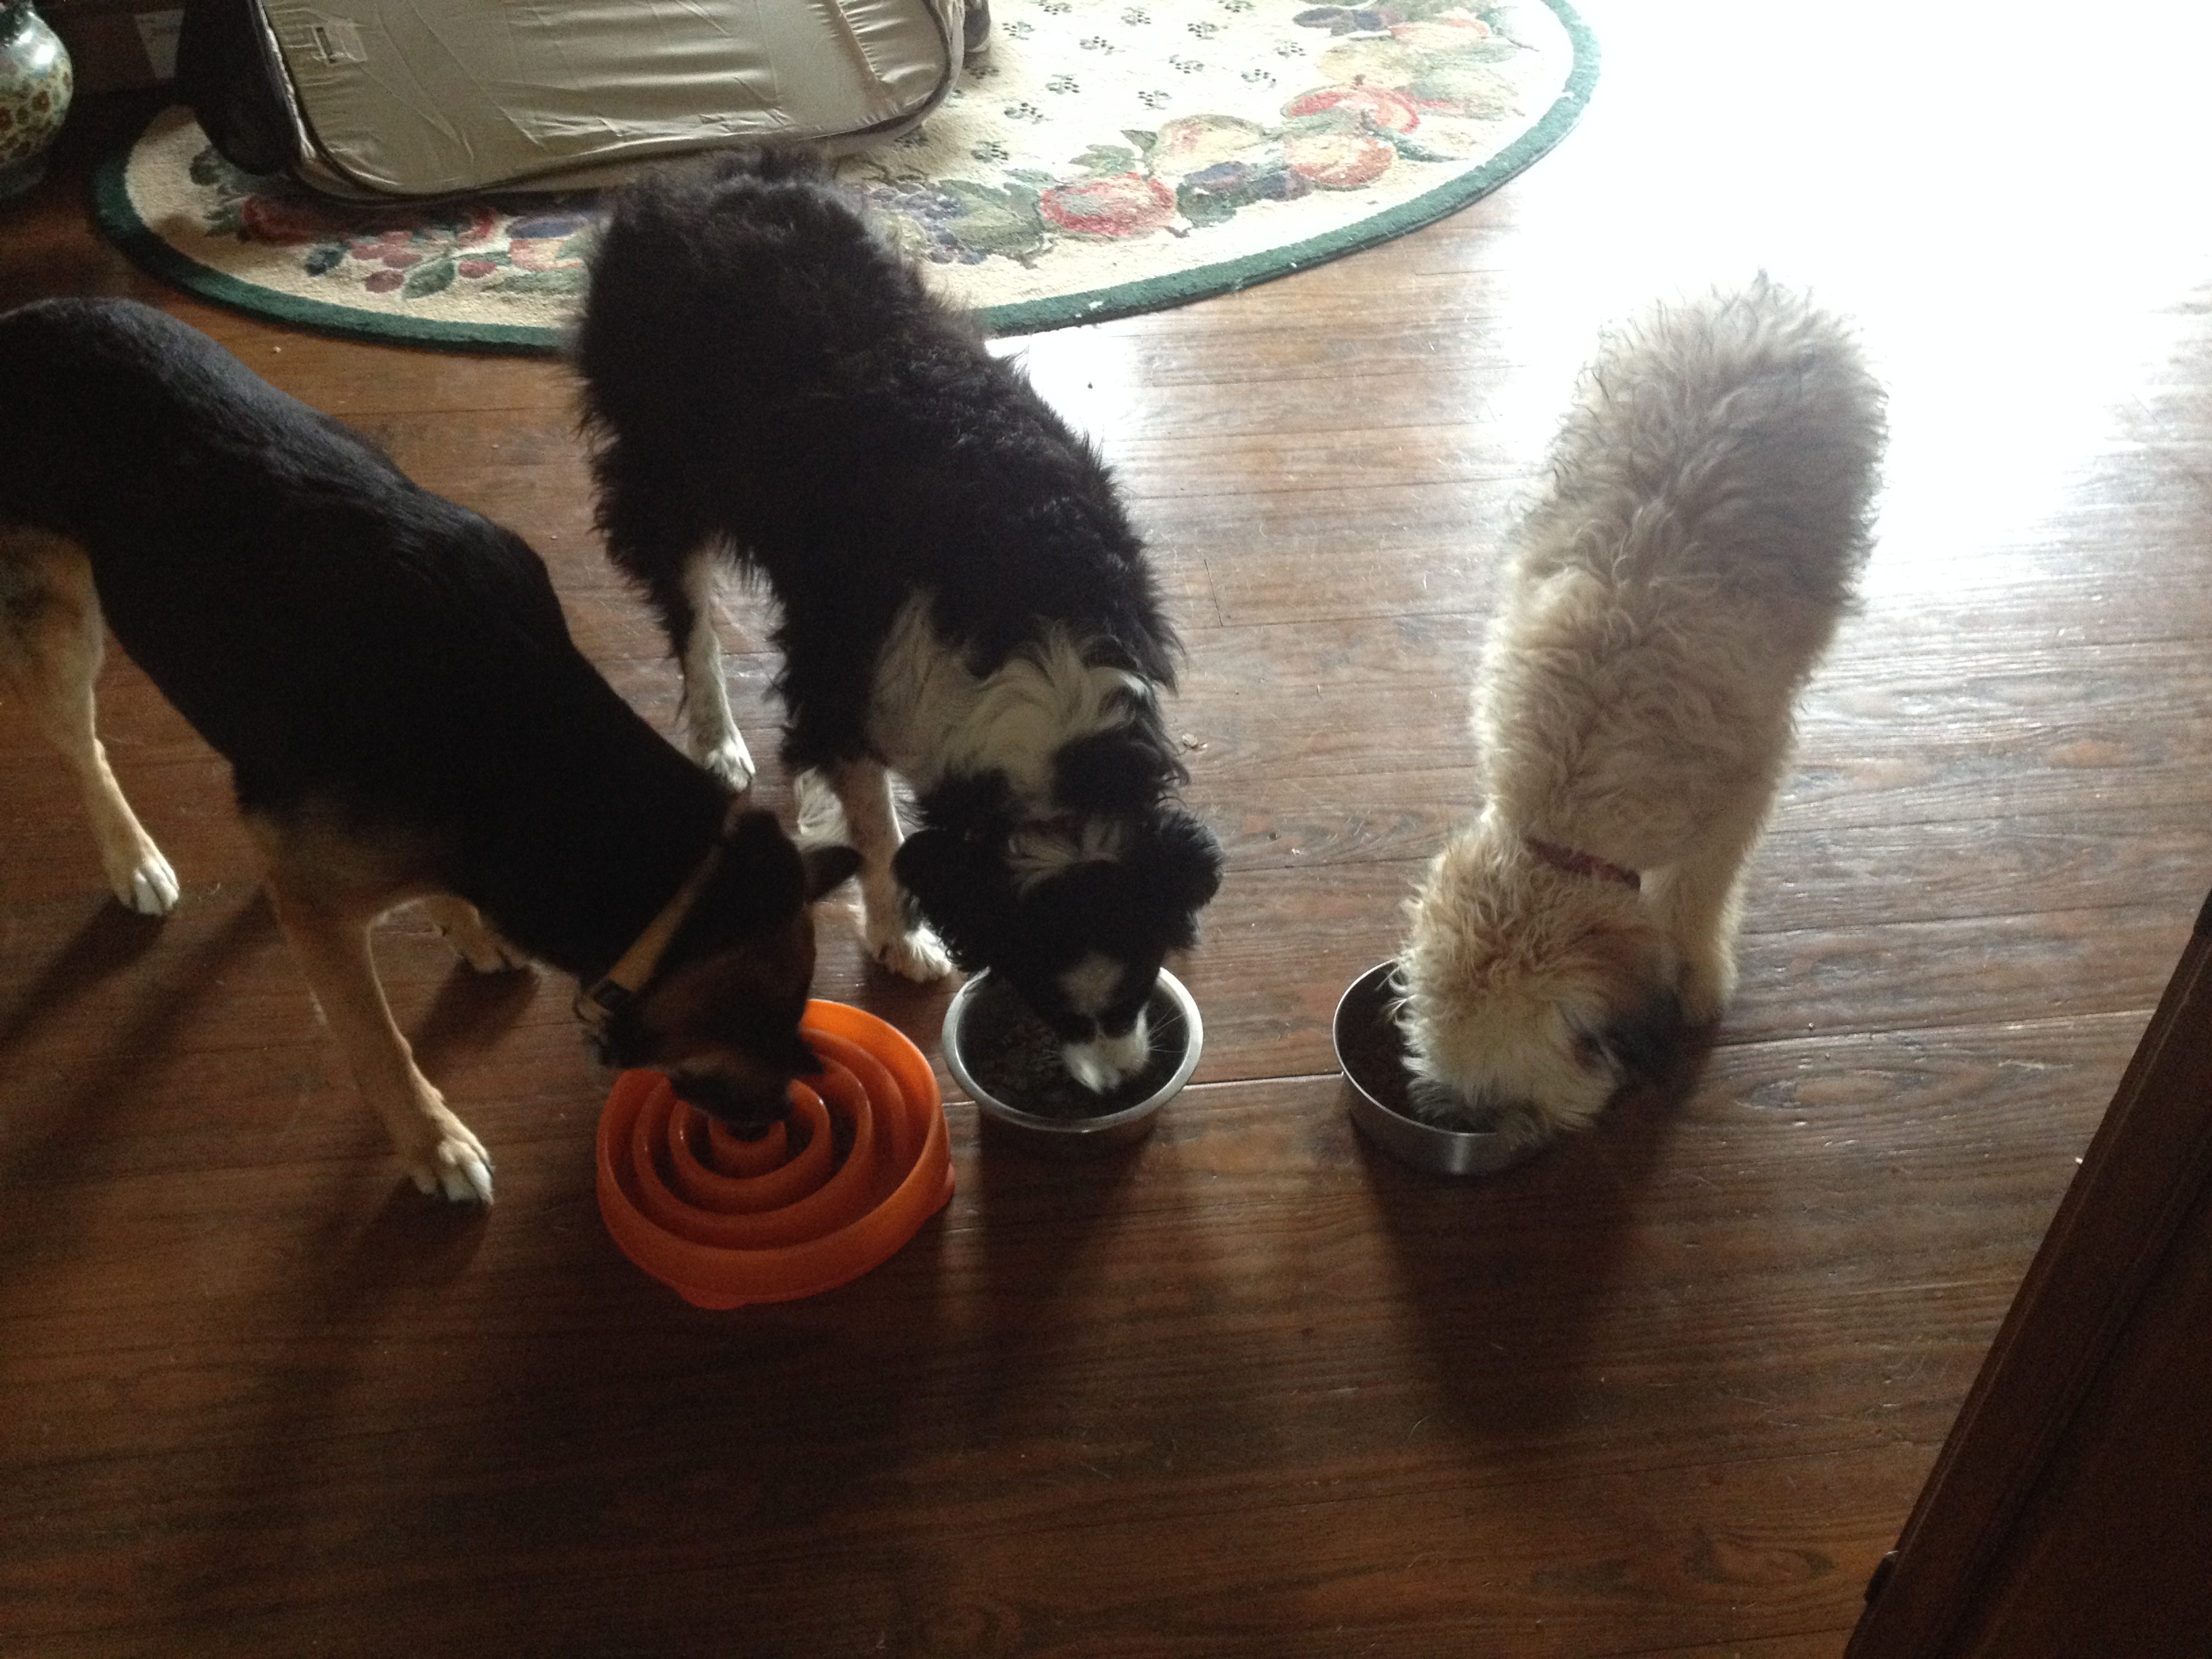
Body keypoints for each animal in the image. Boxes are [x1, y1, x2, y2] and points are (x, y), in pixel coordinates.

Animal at [0, 298, 858, 1204]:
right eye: (772, 1025)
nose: (778, 1119)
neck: (535, 750)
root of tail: (25, 320)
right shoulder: (322, 916)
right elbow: (377, 1042)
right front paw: (433, 1143)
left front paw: (467, 927)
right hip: (53, 623)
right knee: (82, 745)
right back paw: (131, 857)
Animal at [571, 149, 1223, 1093]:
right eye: (1046, 1001)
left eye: (1142, 980)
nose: (1119, 1084)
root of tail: (690, 182)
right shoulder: (847, 675)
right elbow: (878, 830)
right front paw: (901, 938)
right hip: (665, 465)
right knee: (687, 614)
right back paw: (719, 743)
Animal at [1395, 276, 1887, 1148]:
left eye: (1514, 1102)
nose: (1453, 1120)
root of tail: (1765, 294)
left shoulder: (1744, 791)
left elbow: (1697, 899)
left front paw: (1698, 977)